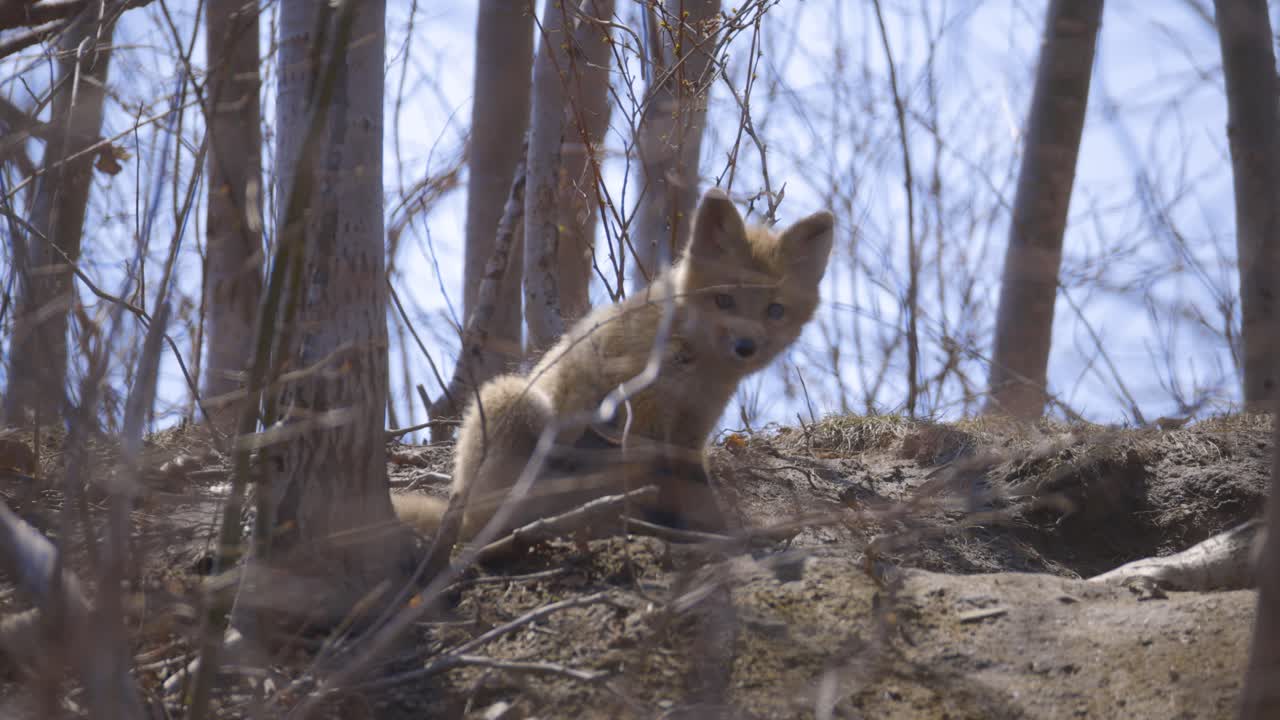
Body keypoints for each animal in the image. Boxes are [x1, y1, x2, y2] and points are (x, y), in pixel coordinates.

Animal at [394, 188, 834, 542]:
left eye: (775, 310)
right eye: (724, 300)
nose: (746, 346)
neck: (692, 368)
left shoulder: (690, 431)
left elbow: (694, 490)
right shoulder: (638, 418)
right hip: (514, 402)